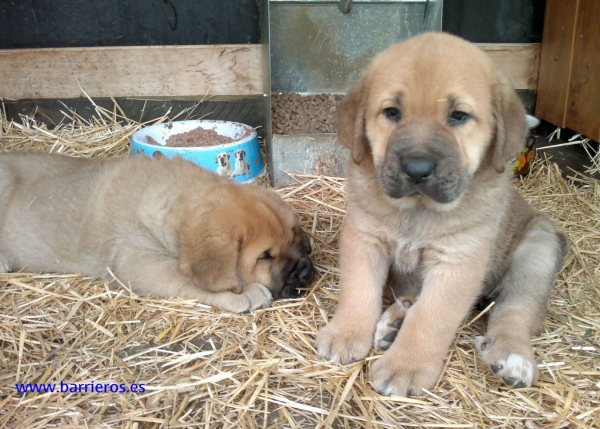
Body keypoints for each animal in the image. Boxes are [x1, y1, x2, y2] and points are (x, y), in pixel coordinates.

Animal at [1, 152, 314, 310]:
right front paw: (246, 293)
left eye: (293, 239)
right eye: (264, 257)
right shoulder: (140, 264)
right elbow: (185, 279)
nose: (305, 271)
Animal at [314, 32, 568, 394]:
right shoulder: (364, 238)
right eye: (392, 112)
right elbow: (358, 289)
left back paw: (511, 355)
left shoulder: (458, 261)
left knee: (517, 309)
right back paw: (395, 321)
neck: (417, 211)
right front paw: (346, 333)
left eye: (458, 116)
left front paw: (405, 367)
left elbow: (431, 317)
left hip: (538, 250)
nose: (417, 169)